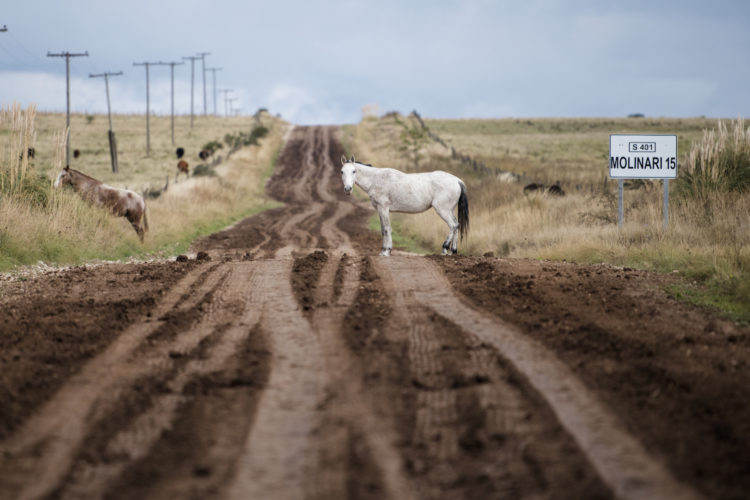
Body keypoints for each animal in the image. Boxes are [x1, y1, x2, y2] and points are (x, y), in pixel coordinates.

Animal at [342, 155, 470, 258]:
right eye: (342, 171)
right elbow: (383, 229)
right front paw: (383, 250)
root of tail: (457, 181)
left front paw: (386, 251)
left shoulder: (383, 208)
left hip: (442, 209)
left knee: (453, 225)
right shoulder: (379, 209)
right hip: (450, 210)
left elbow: (386, 229)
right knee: (457, 225)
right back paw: (453, 251)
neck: (376, 179)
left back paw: (444, 249)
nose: (347, 189)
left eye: (354, 171)